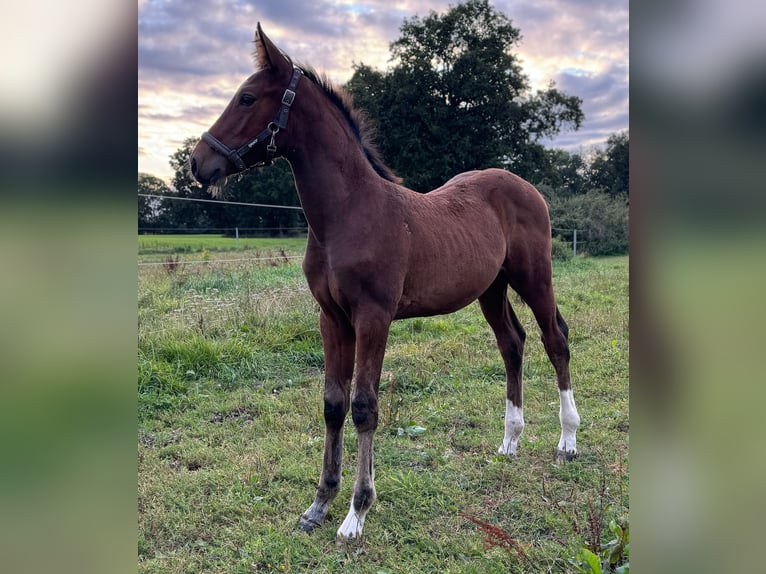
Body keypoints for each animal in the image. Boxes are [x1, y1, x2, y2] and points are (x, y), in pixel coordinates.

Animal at [190, 23, 580, 544]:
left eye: (247, 98)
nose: (197, 163)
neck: (350, 212)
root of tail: (526, 186)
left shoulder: (373, 317)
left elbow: (363, 406)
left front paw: (356, 513)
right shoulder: (331, 318)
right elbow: (333, 404)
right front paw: (319, 505)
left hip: (534, 276)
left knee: (555, 339)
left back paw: (567, 441)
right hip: (491, 289)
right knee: (512, 343)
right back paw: (510, 441)